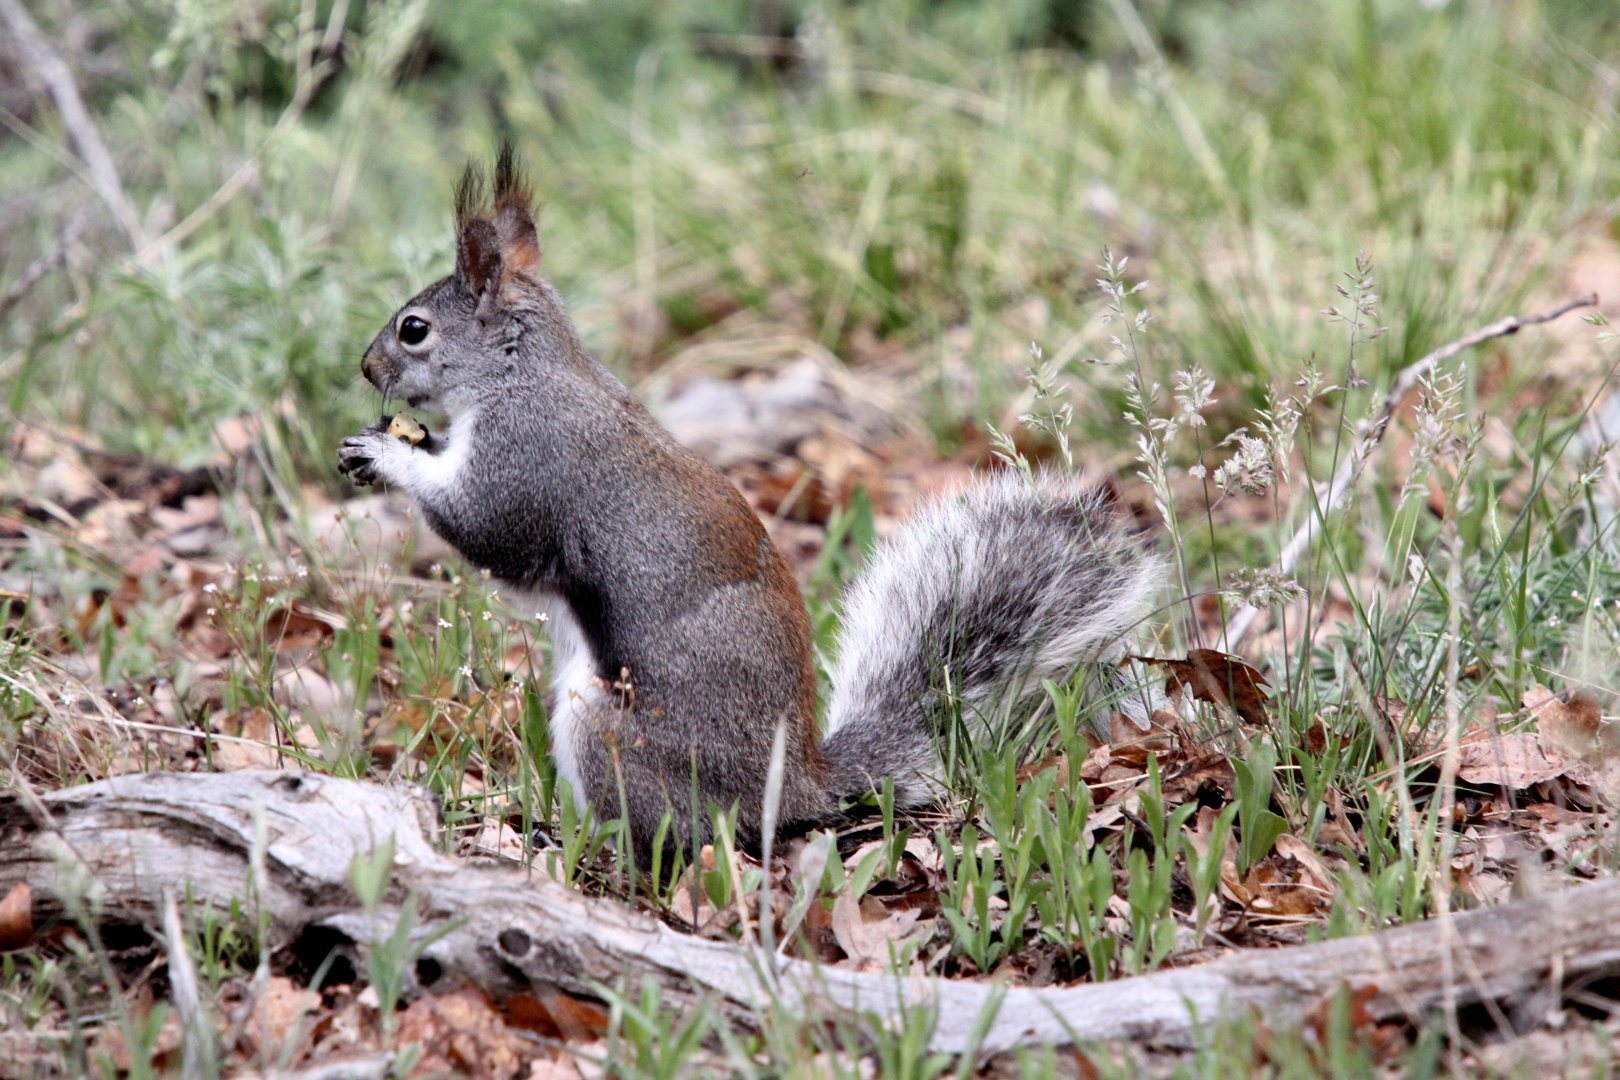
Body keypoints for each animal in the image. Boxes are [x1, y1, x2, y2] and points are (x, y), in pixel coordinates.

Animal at [338, 146, 1161, 862]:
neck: (518, 372)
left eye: (414, 329)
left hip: (614, 730)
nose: (366, 366)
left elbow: (489, 530)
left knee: (670, 833)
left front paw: (389, 455)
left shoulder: (528, 458)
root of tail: (794, 788)